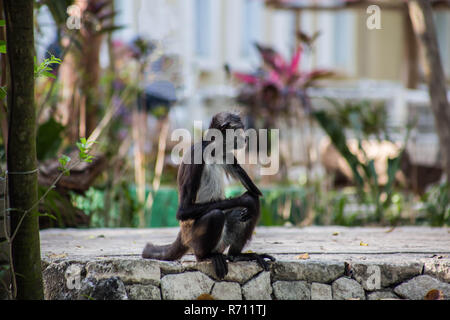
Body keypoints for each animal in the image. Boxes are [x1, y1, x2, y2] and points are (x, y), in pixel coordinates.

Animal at [142, 111, 274, 278]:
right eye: (239, 130)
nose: (245, 138)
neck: (213, 151)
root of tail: (183, 235)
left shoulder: (226, 154)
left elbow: (254, 191)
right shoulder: (197, 156)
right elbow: (183, 211)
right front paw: (245, 199)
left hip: (222, 242)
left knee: (251, 205)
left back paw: (235, 255)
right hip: (194, 239)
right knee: (216, 215)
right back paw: (206, 256)